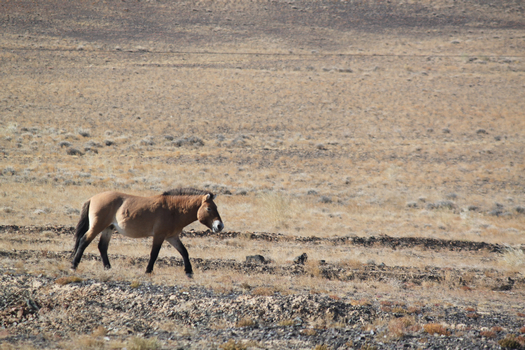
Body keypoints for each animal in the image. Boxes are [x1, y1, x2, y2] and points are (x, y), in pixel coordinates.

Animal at [71, 187, 223, 278]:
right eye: (209, 208)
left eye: (216, 207)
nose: (220, 226)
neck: (173, 209)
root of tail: (92, 198)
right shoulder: (159, 236)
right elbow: (154, 254)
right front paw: (148, 271)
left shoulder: (172, 237)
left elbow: (184, 252)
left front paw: (189, 272)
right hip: (97, 226)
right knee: (84, 241)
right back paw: (74, 265)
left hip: (108, 229)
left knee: (102, 247)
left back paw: (108, 268)